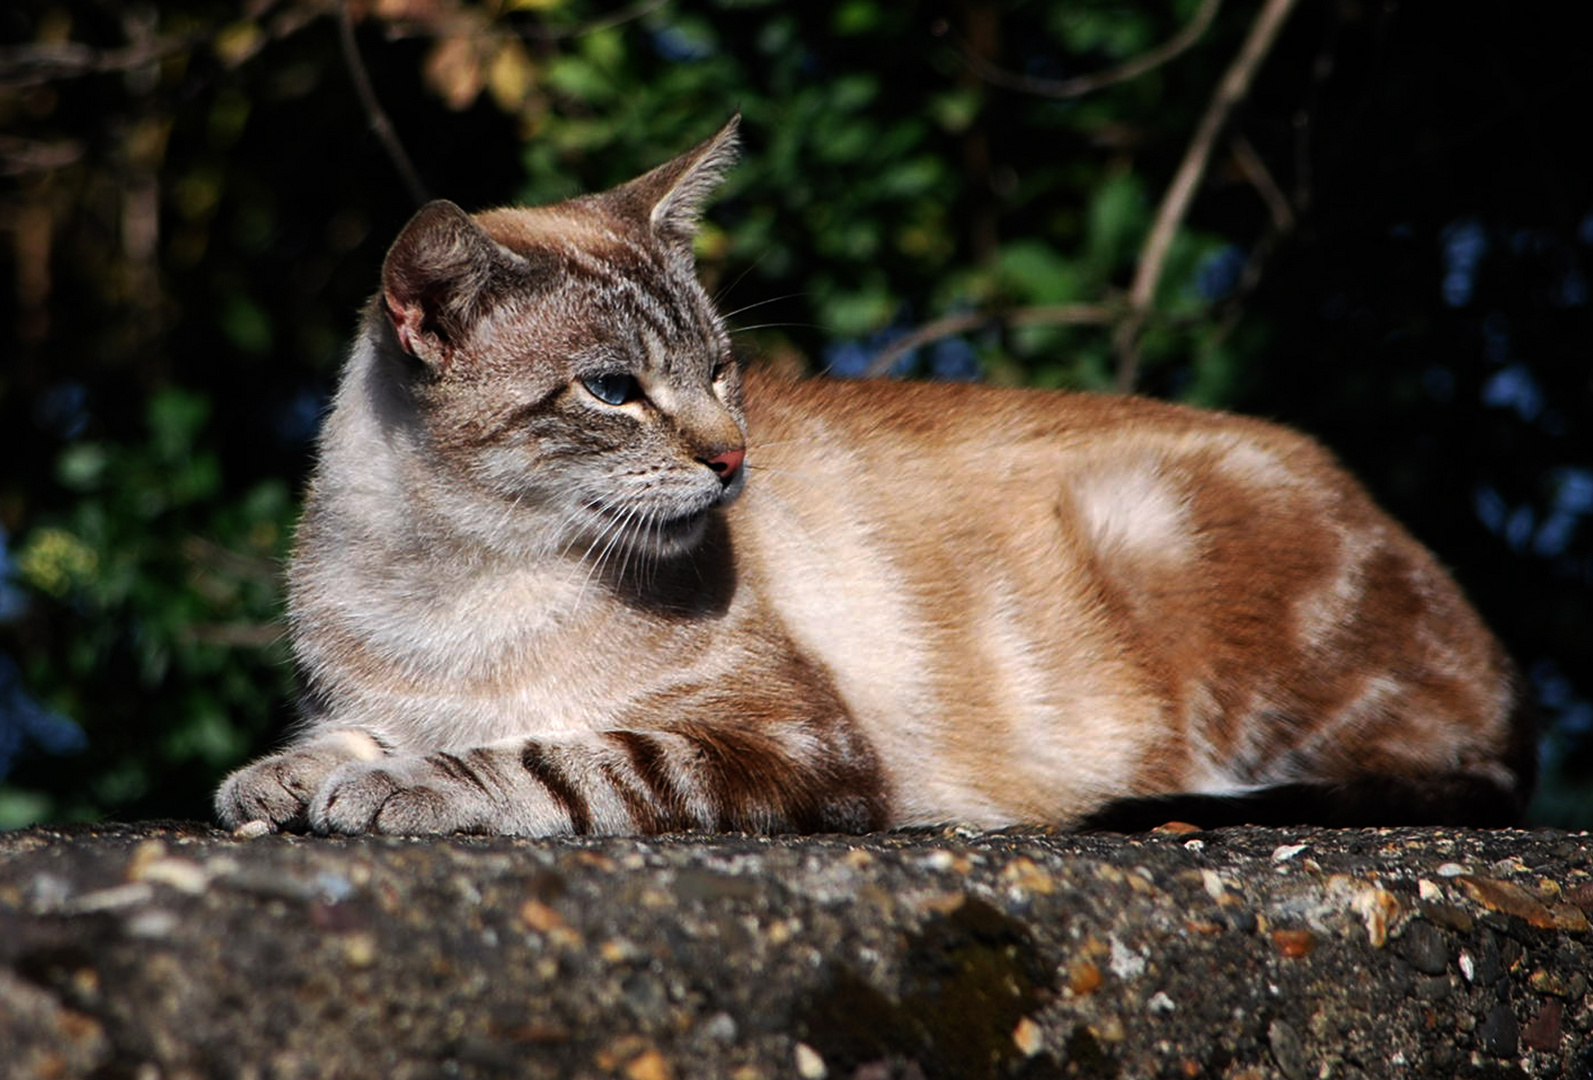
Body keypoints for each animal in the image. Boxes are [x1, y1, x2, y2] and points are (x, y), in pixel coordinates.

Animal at [211, 118, 1529, 841]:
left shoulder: (796, 746)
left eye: (722, 370)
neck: (461, 580)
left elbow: (557, 757)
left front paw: (405, 787)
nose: (733, 458)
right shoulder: (376, 687)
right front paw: (281, 780)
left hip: (1153, 536)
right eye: (613, 389)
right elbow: (340, 735)